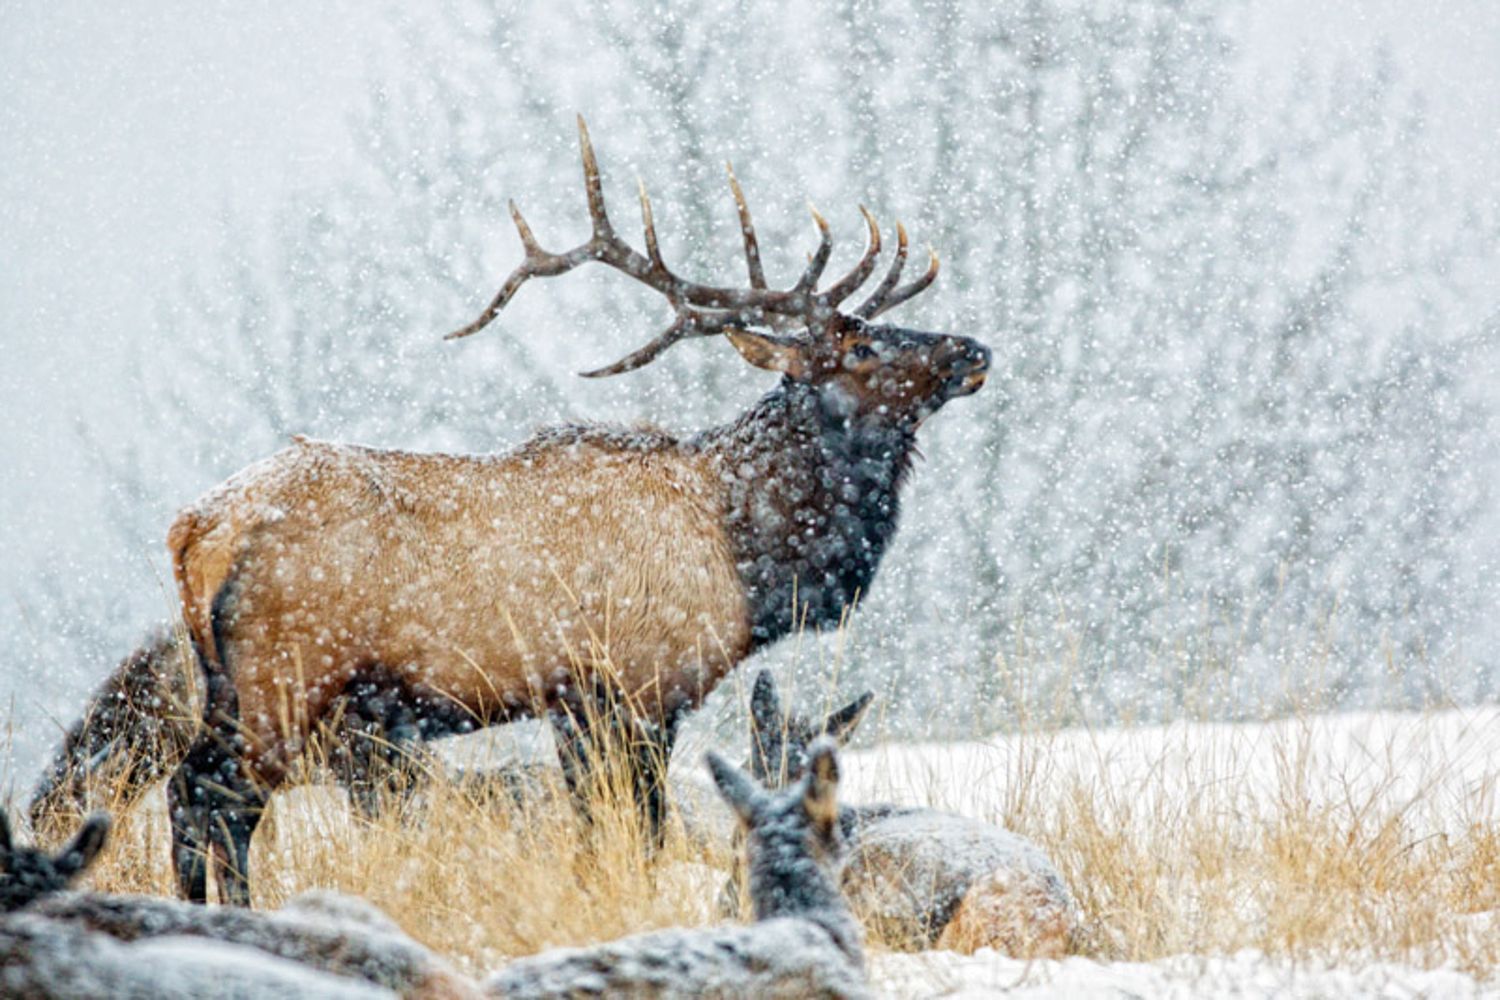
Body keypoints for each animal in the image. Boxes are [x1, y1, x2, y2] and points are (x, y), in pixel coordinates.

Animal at [162, 115, 991, 905]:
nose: (973, 350)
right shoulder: (635, 685)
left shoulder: (573, 704)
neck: (746, 556)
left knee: (192, 790)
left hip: (230, 683)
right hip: (285, 675)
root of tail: (194, 533)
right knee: (214, 797)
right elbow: (640, 833)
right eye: (861, 350)